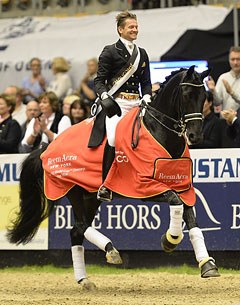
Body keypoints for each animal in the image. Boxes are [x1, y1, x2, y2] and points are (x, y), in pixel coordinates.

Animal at [7, 66, 219, 288]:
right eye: (186, 94)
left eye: (204, 96)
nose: (196, 136)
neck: (159, 133)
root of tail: (47, 147)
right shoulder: (144, 187)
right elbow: (175, 202)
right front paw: (170, 240)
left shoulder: (182, 187)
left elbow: (193, 223)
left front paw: (207, 264)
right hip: (74, 191)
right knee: (80, 226)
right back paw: (111, 251)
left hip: (90, 198)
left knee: (77, 230)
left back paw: (84, 279)